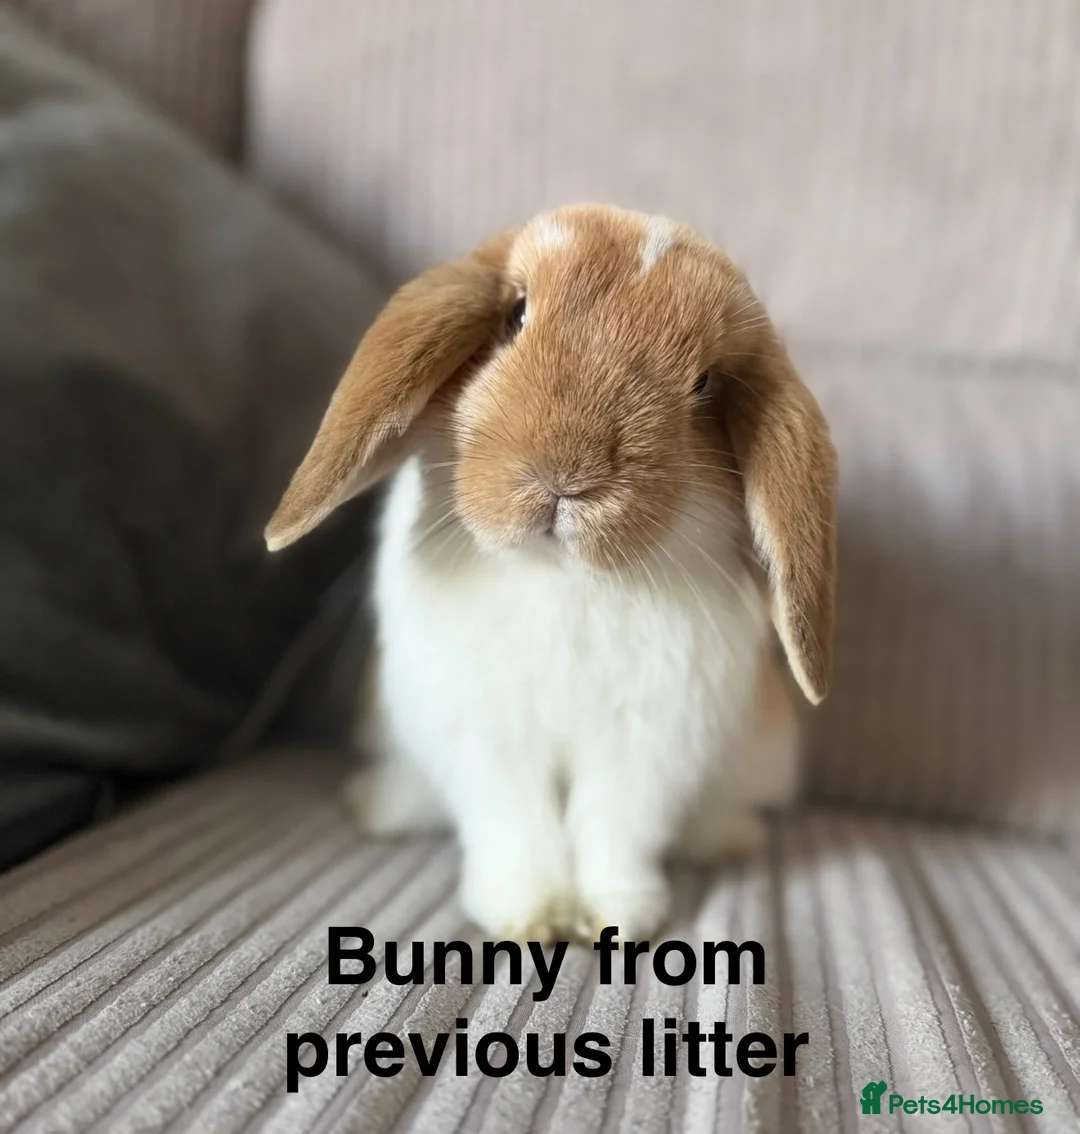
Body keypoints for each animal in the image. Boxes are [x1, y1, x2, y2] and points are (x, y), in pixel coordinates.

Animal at [265, 204, 837, 943]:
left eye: (704, 383)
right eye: (516, 313)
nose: (567, 473)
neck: (561, 575)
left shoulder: (650, 744)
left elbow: (613, 828)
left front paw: (613, 917)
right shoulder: (484, 735)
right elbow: (516, 824)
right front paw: (530, 918)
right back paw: (379, 805)